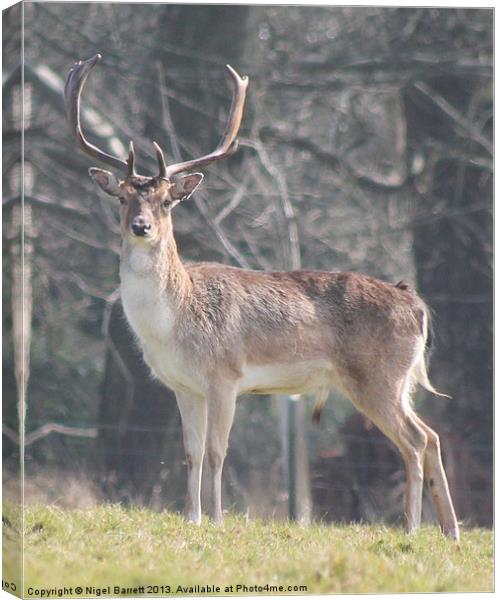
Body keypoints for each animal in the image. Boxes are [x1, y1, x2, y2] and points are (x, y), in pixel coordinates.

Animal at [64, 55, 458, 540]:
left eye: (167, 201)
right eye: (121, 198)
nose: (141, 226)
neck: (174, 322)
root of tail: (416, 305)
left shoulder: (225, 374)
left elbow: (217, 451)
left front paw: (215, 519)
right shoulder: (183, 385)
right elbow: (191, 452)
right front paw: (192, 518)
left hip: (376, 377)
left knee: (415, 439)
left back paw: (412, 528)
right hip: (400, 381)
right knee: (431, 435)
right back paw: (451, 531)